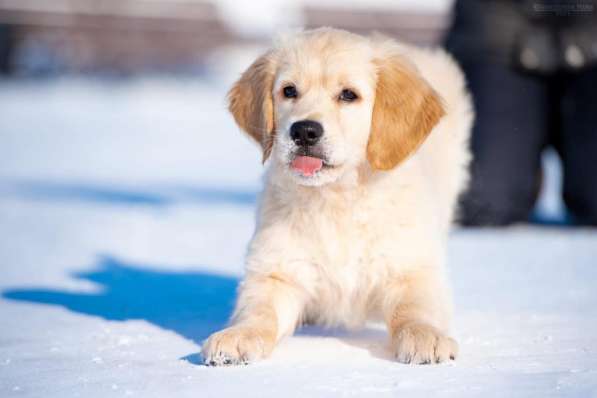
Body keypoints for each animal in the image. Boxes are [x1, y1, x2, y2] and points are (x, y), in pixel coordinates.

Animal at [203, 26, 472, 366]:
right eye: (289, 91)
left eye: (348, 95)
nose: (304, 131)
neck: (335, 199)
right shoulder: (275, 270)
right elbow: (260, 310)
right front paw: (239, 336)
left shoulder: (412, 267)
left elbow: (413, 308)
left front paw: (425, 336)